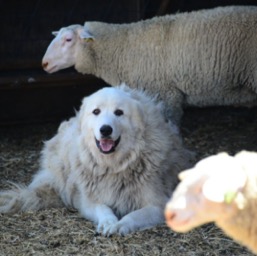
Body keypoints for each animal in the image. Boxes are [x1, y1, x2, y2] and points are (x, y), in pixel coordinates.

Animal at [0, 85, 192, 235]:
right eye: (96, 112)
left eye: (119, 112)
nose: (105, 129)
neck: (114, 166)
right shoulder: (89, 202)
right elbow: (103, 209)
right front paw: (109, 222)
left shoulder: (159, 205)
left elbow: (134, 215)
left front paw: (121, 225)